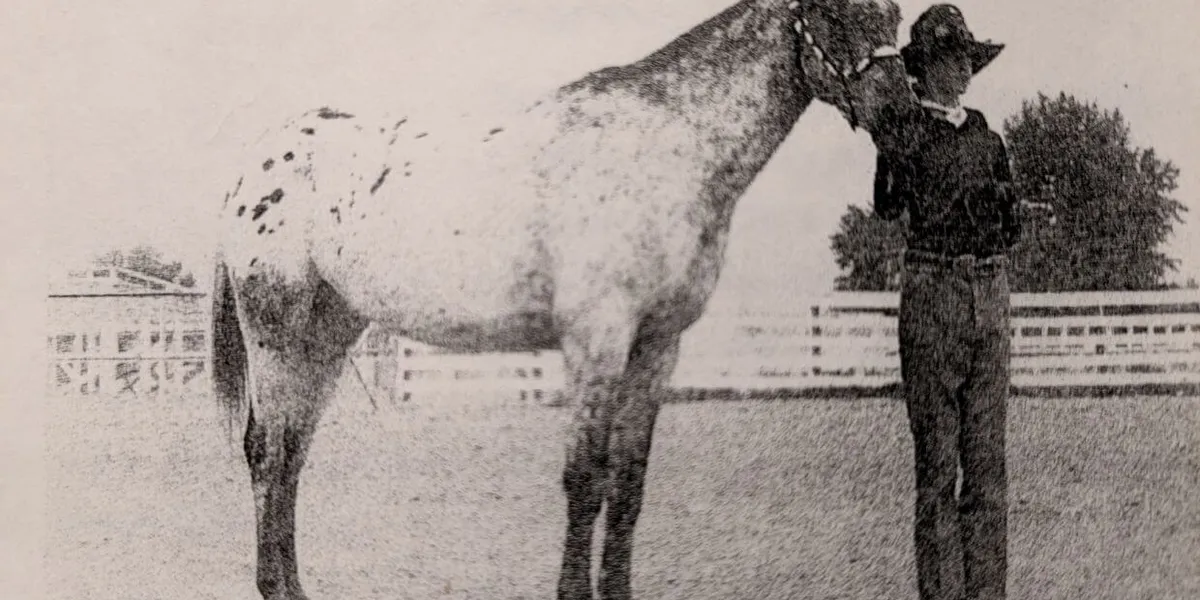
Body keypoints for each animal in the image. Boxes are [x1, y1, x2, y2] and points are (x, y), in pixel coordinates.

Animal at [210, 1, 917, 598]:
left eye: (893, 15)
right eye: (834, 14)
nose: (903, 120)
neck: (666, 151)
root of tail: (255, 164)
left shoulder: (656, 346)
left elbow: (628, 483)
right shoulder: (596, 341)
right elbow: (585, 478)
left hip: (327, 338)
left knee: (292, 454)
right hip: (278, 335)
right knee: (268, 450)